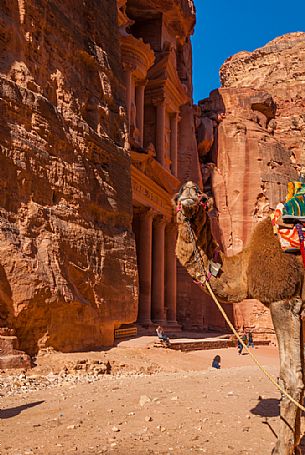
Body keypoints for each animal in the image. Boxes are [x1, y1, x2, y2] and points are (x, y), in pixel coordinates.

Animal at [173, 182, 304, 455]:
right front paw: (296, 443)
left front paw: (283, 448)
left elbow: (291, 377)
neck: (243, 266)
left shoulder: (283, 299)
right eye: (177, 195)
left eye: (203, 197)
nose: (190, 192)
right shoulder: (301, 309)